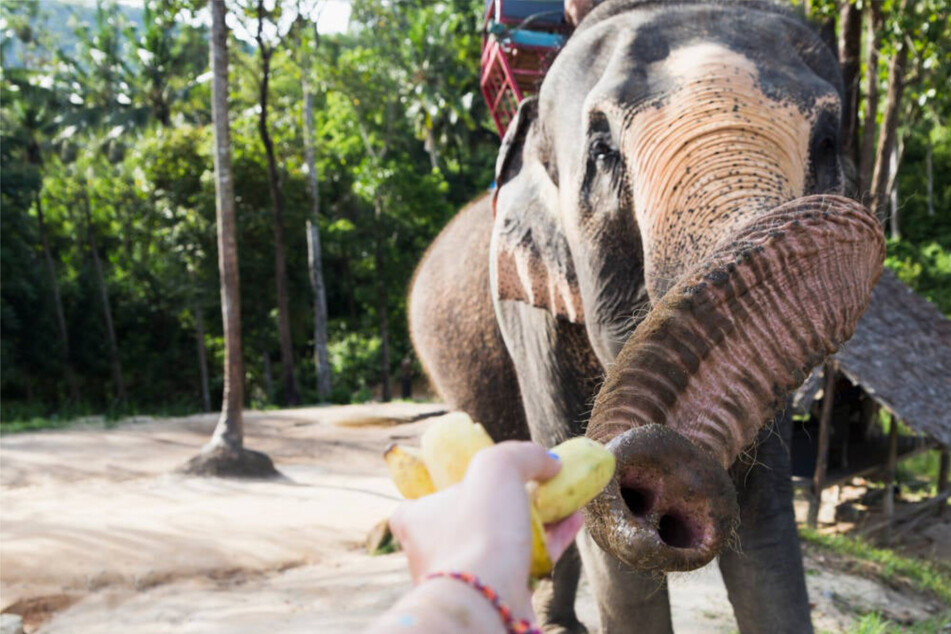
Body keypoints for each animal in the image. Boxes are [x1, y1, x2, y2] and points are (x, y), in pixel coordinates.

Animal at [409, 1, 885, 632]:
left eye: (829, 141)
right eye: (602, 149)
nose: (676, 459)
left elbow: (765, 511)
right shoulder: (528, 309)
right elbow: (581, 486)